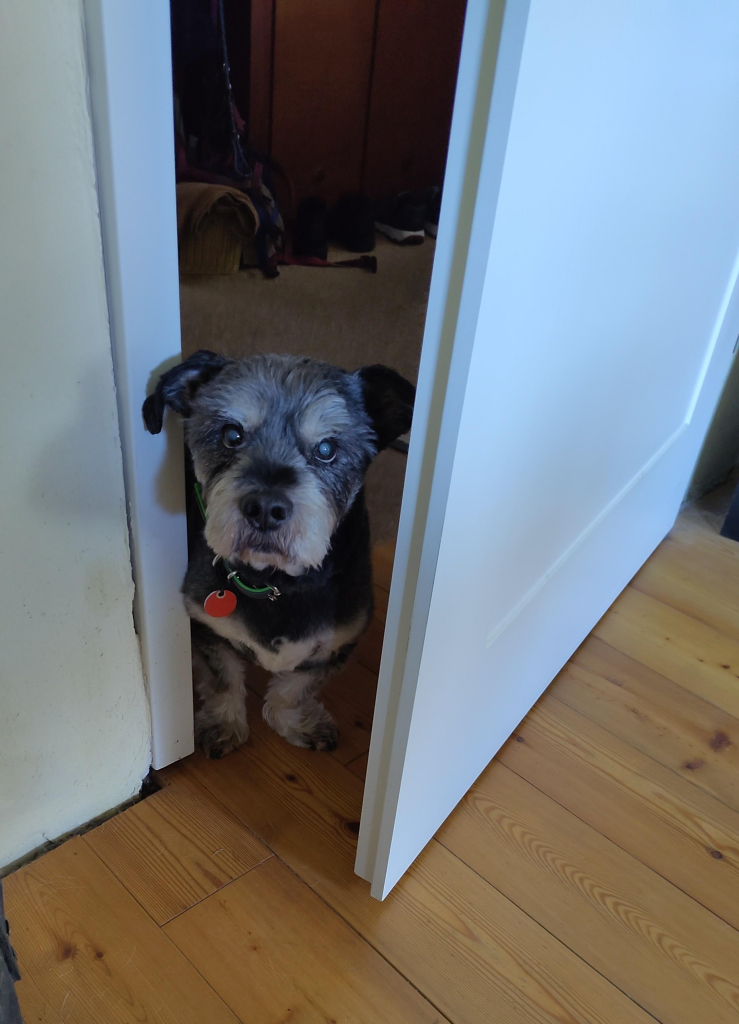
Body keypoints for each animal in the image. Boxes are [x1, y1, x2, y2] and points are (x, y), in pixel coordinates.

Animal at [141, 348, 411, 757]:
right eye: (231, 434)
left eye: (327, 449)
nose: (265, 508)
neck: (275, 582)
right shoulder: (203, 625)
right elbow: (223, 678)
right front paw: (224, 724)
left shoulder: (339, 641)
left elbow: (296, 688)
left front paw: (297, 722)